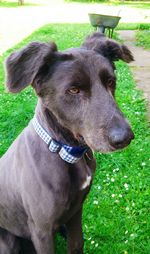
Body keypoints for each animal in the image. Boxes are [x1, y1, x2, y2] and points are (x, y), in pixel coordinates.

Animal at [0, 32, 134, 253]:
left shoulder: (76, 210)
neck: (64, 150)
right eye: (73, 90)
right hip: (8, 241)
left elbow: (77, 243)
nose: (125, 137)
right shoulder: (42, 230)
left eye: (110, 81)